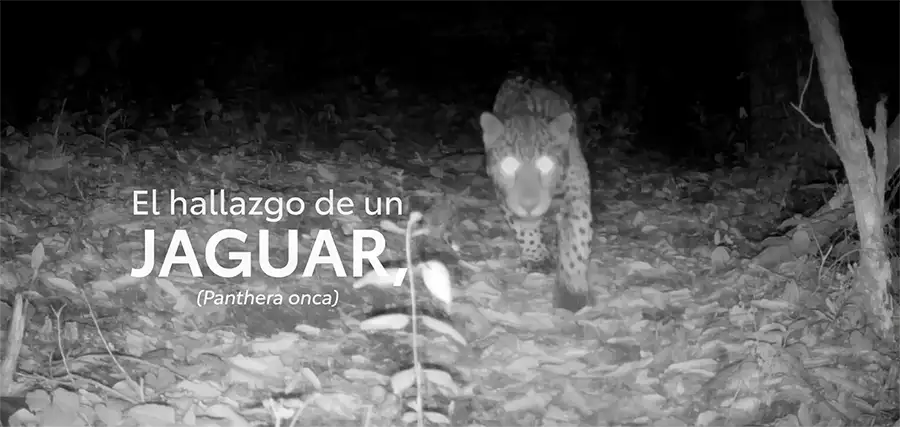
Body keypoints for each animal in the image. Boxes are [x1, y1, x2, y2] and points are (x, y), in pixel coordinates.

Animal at [479, 76, 594, 312]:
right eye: (509, 164)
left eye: (546, 164)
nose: (530, 204)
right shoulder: (506, 197)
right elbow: (524, 228)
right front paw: (537, 257)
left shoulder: (576, 195)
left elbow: (576, 236)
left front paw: (572, 293)